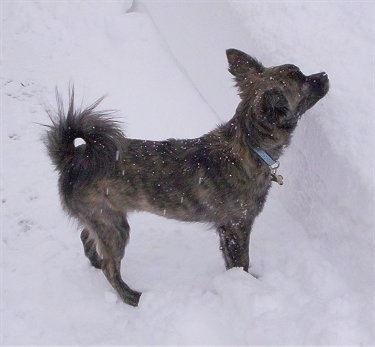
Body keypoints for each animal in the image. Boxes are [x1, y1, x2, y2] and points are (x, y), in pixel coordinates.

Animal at [45, 49, 330, 308]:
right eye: (302, 81)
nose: (325, 75)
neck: (247, 144)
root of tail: (73, 157)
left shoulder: (225, 231)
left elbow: (231, 264)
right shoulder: (237, 227)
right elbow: (242, 263)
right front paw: (248, 287)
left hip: (101, 218)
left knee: (87, 239)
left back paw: (95, 263)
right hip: (114, 227)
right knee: (110, 268)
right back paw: (132, 297)